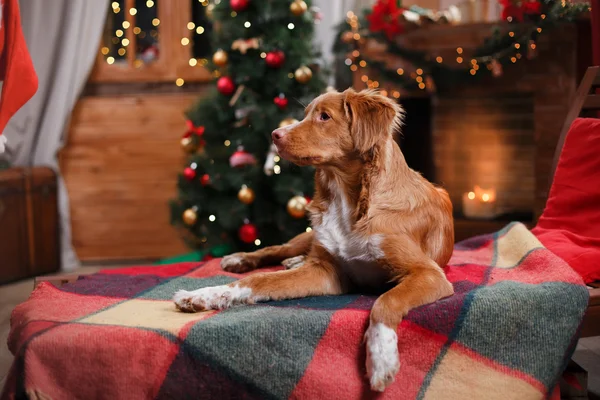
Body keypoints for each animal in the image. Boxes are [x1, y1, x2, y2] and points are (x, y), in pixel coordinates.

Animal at [173, 87, 454, 390]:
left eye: (324, 117)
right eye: (306, 113)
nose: (275, 134)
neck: (347, 199)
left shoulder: (428, 273)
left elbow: (386, 301)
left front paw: (381, 358)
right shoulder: (327, 272)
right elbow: (258, 281)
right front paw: (202, 296)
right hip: (308, 236)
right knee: (276, 248)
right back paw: (244, 258)